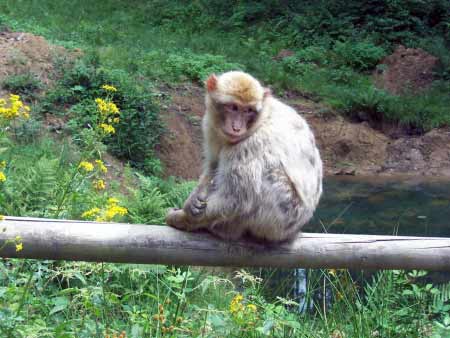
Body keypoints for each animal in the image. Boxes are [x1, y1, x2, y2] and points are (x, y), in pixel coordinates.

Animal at [166, 70, 324, 243]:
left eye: (248, 110)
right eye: (233, 107)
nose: (237, 128)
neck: (261, 119)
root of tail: (294, 231)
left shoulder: (250, 144)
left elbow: (237, 200)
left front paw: (182, 218)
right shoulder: (210, 126)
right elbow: (213, 164)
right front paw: (192, 200)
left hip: (280, 218)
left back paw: (225, 230)